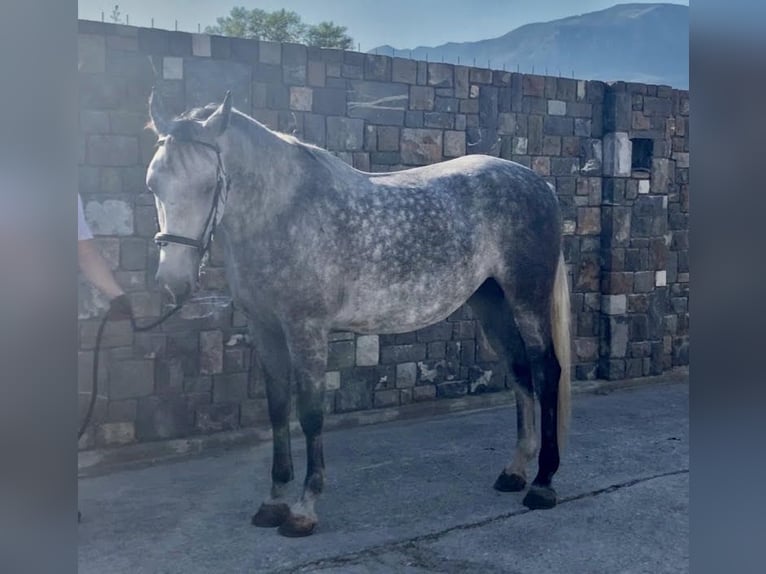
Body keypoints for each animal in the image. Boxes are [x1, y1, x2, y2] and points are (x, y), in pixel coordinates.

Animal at [147, 90, 572, 540]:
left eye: (210, 184)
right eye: (153, 183)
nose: (173, 283)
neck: (284, 212)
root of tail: (537, 183)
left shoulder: (306, 329)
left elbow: (310, 413)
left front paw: (303, 509)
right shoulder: (264, 329)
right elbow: (277, 409)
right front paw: (274, 501)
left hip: (527, 299)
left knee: (546, 371)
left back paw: (543, 483)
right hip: (491, 303)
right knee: (520, 372)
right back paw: (515, 471)